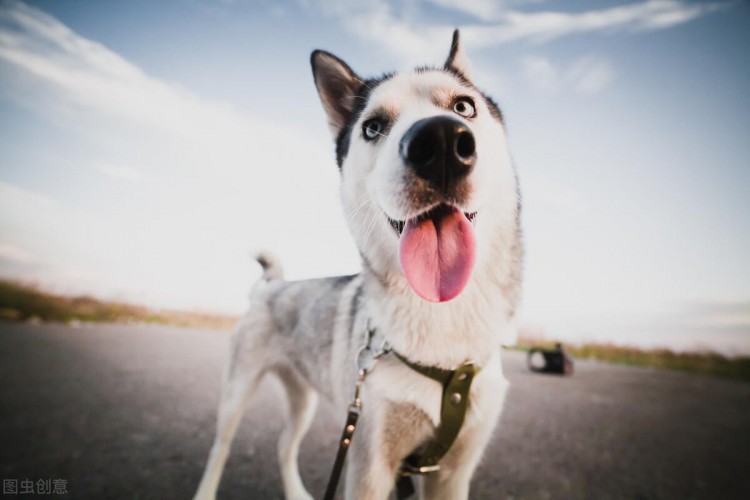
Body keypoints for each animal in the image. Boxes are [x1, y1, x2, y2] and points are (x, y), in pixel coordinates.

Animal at [194, 31, 524, 500]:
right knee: (220, 447)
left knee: (283, 444)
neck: (442, 326)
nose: (441, 141)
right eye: (373, 127)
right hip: (237, 393)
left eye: (463, 107)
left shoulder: (453, 472)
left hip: (303, 397)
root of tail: (271, 286)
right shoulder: (371, 462)